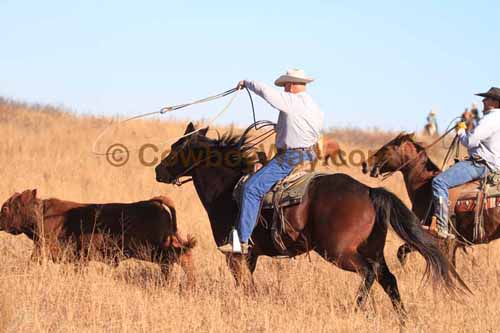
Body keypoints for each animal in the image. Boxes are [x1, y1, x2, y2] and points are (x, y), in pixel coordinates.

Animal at [0, 189, 195, 286]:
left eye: (6, 208)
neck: (41, 213)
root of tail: (155, 201)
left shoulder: (43, 249)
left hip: (156, 250)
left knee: (180, 258)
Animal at [155, 122, 468, 322]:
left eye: (175, 148)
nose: (159, 170)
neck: (229, 188)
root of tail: (369, 191)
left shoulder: (236, 254)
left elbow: (243, 283)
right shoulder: (250, 255)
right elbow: (248, 284)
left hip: (339, 252)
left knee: (368, 274)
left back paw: (357, 310)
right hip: (373, 250)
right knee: (387, 279)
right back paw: (402, 318)